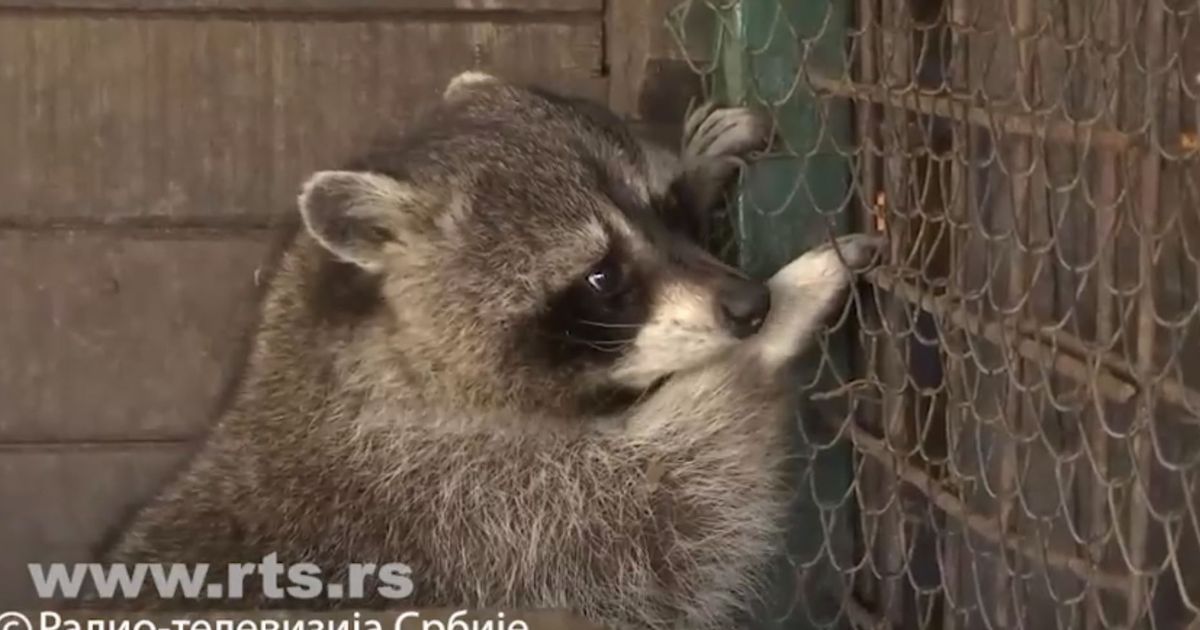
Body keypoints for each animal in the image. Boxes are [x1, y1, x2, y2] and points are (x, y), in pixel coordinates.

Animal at [103, 75, 888, 628]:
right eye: (602, 278)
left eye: (667, 214)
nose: (750, 306)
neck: (390, 348)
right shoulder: (449, 502)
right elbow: (662, 512)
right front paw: (779, 318)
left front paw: (701, 160)